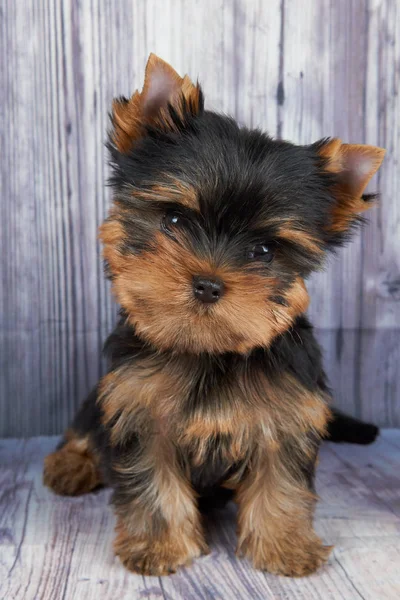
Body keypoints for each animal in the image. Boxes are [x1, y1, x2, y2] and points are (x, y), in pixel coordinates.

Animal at [43, 56, 384, 576]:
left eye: (264, 251)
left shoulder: (285, 417)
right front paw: (160, 546)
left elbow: (281, 483)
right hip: (103, 391)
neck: (208, 350)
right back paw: (71, 464)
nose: (207, 283)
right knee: (84, 425)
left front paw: (286, 546)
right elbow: (154, 483)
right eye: (175, 220)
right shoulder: (138, 409)